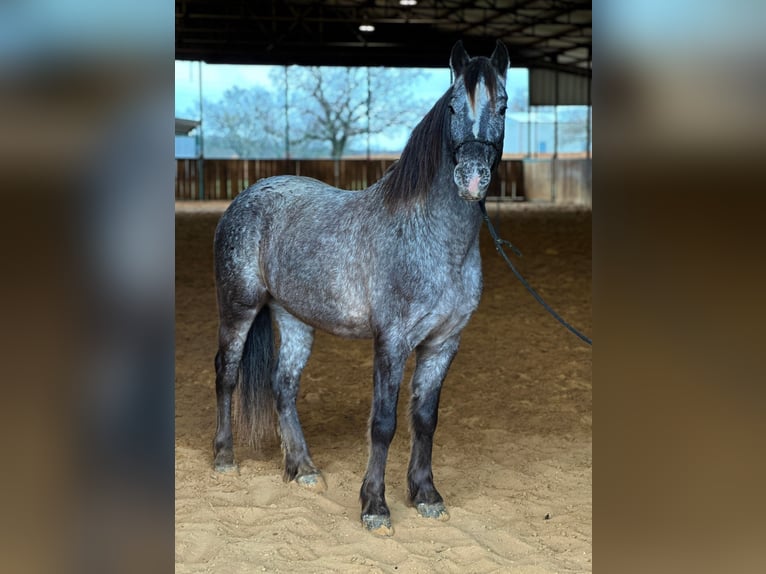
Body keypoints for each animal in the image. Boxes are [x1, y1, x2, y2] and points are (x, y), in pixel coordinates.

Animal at [212, 39, 510, 536]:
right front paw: (375, 506)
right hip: (239, 308)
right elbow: (384, 422)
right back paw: (223, 458)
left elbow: (425, 418)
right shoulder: (391, 341)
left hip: (295, 317)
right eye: (452, 106)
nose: (471, 177)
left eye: (503, 105)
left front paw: (426, 495)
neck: (433, 238)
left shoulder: (443, 343)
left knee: (283, 385)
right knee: (227, 374)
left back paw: (303, 468)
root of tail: (249, 194)